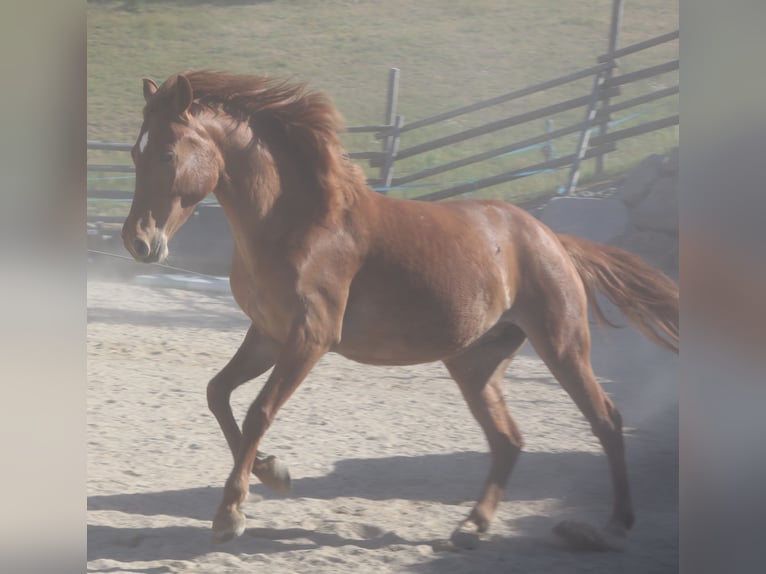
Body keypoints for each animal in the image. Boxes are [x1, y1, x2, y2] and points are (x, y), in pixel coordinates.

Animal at [121, 71, 679, 550]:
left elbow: (259, 411)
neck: (299, 221)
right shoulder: (268, 335)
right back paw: (472, 527)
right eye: (134, 152)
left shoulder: (310, 337)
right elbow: (218, 394)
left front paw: (232, 513)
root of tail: (550, 237)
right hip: (475, 363)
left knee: (606, 420)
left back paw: (612, 527)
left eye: (167, 153)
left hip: (562, 344)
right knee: (508, 440)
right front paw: (274, 473)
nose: (137, 242)